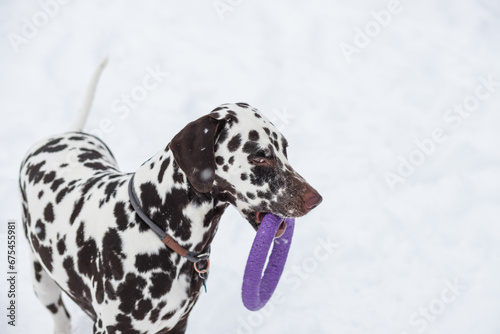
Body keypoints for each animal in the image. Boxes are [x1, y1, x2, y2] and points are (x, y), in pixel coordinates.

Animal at [18, 60, 320, 334]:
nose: (315, 199)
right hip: (42, 283)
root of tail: (67, 133)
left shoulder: (177, 325)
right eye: (259, 157)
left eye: (284, 149)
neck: (158, 227)